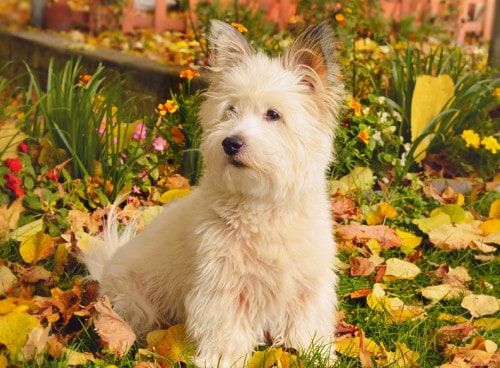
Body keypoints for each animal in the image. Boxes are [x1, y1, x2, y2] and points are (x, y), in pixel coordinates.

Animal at [85, 20, 344, 368]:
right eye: (230, 110)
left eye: (273, 114)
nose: (230, 143)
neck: (262, 203)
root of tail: (106, 268)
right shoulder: (221, 287)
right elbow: (226, 331)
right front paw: (220, 360)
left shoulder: (307, 284)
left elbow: (307, 324)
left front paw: (318, 355)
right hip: (136, 302)